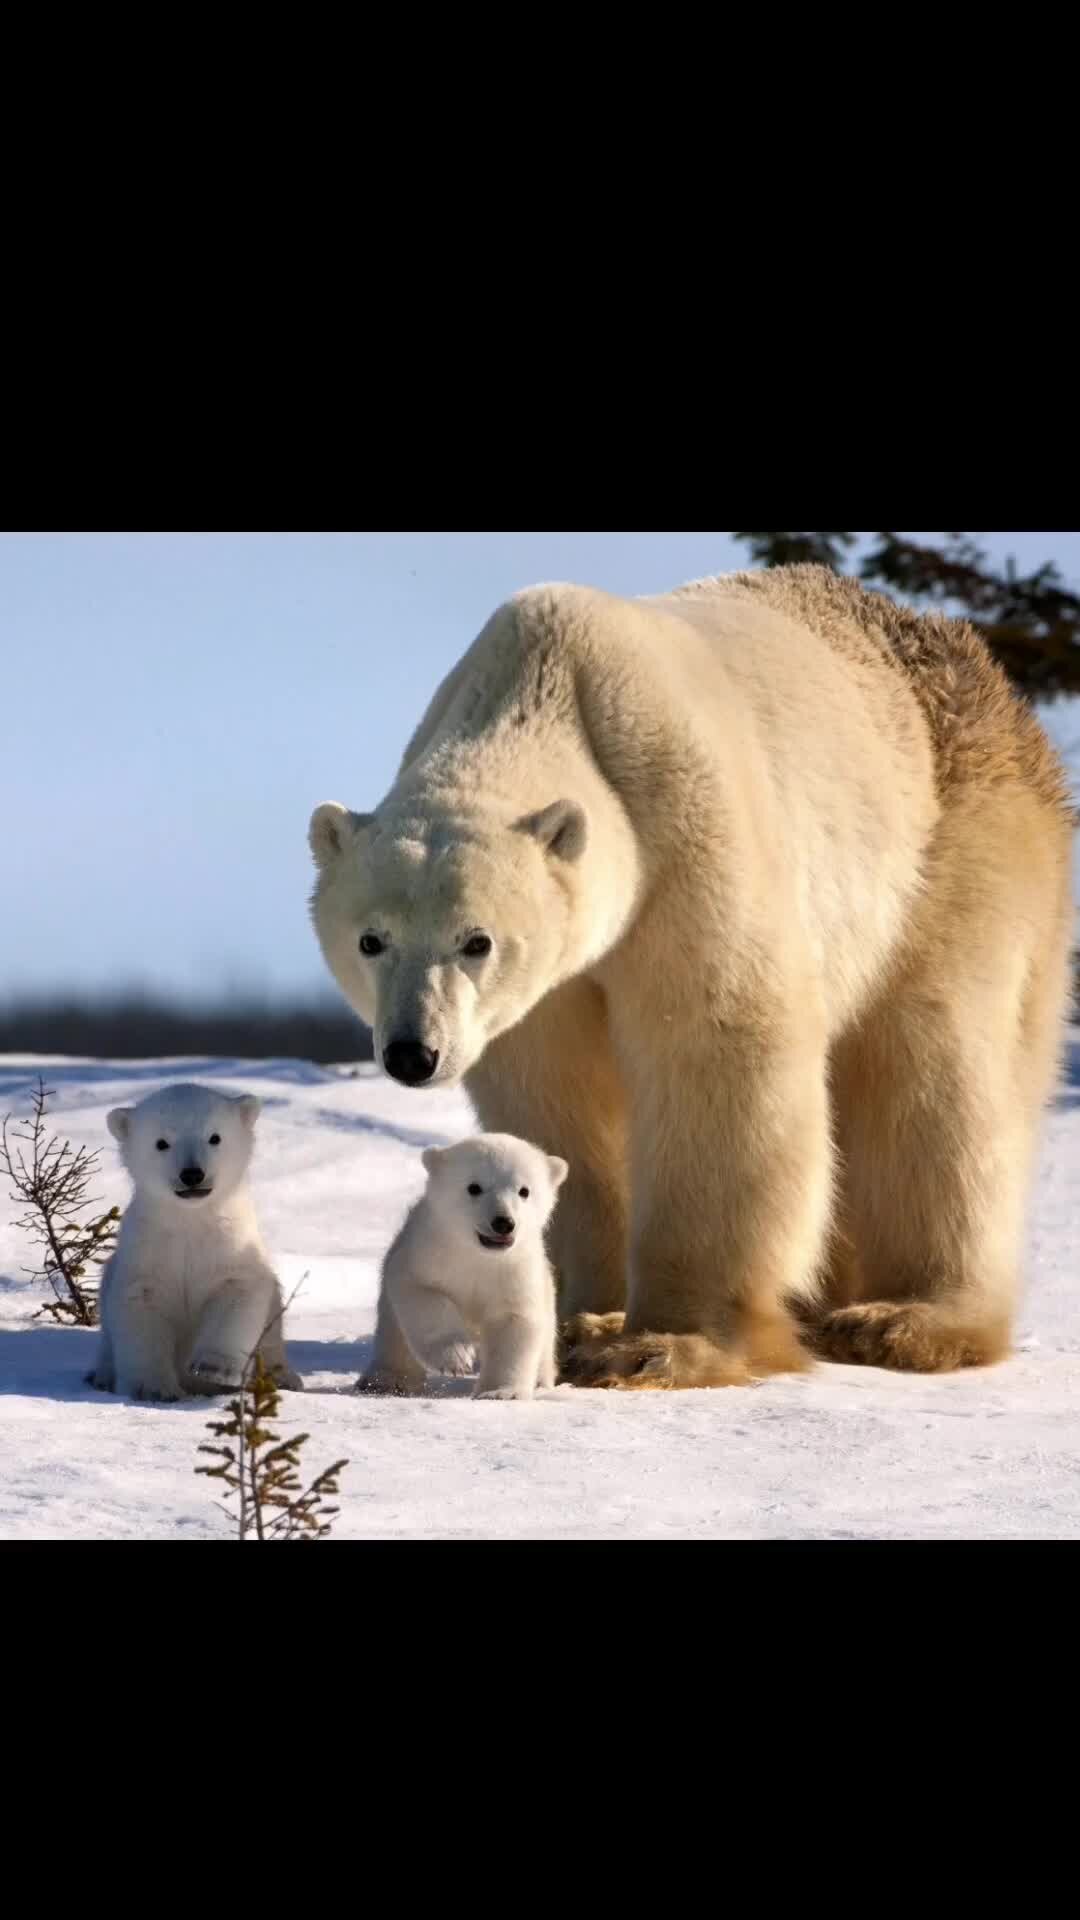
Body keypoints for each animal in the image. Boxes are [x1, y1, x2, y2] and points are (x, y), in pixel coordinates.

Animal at [87, 1090, 297, 1405]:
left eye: (214, 1137)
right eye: (161, 1142)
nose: (192, 1174)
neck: (191, 1219)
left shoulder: (231, 1245)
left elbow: (236, 1294)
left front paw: (214, 1369)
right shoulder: (148, 1252)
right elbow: (141, 1308)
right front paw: (153, 1389)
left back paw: (282, 1377)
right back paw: (100, 1376)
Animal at [357, 1128, 568, 1405]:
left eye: (524, 1190)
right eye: (474, 1187)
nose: (503, 1222)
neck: (478, 1254)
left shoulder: (515, 1270)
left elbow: (513, 1322)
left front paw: (501, 1392)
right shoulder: (429, 1253)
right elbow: (422, 1293)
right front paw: (456, 1357)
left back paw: (542, 1382)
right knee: (394, 1336)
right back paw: (388, 1381)